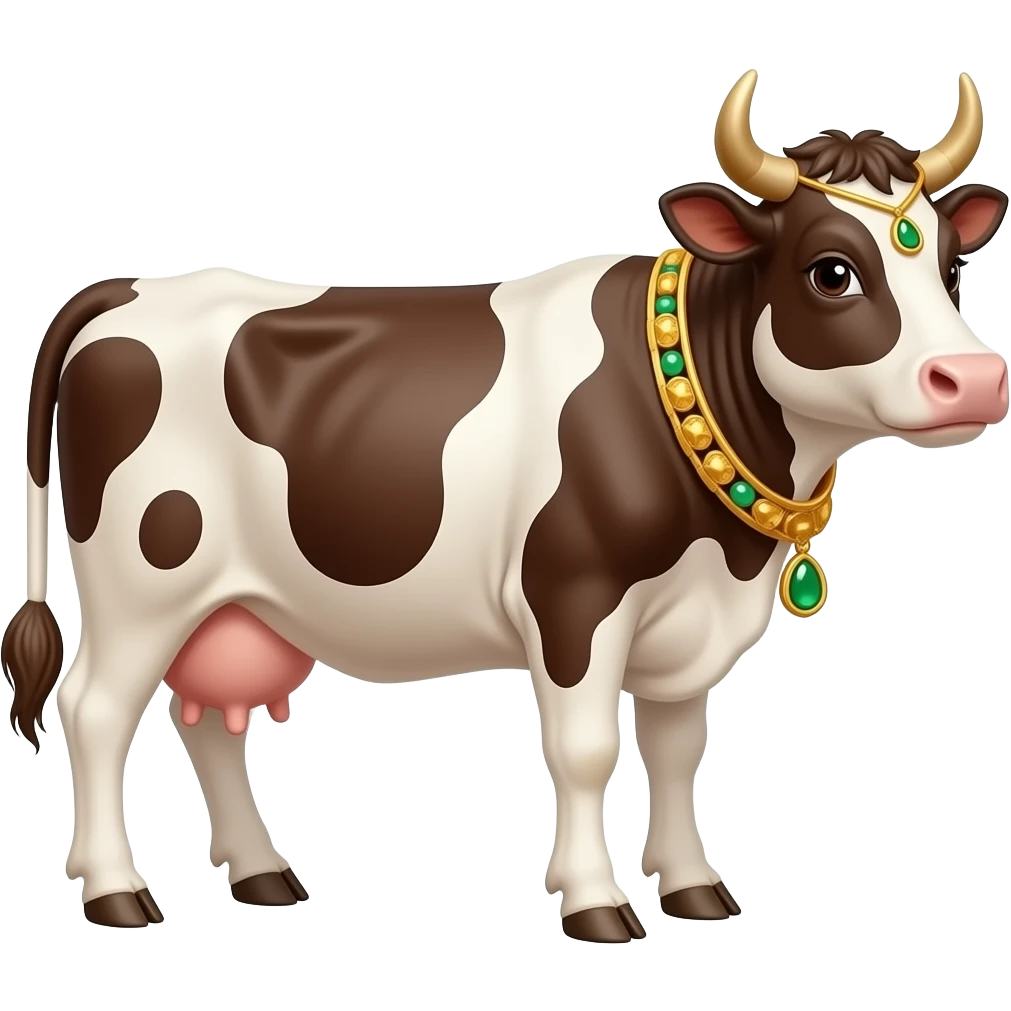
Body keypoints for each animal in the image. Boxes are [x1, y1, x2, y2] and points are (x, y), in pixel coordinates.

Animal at [3, 70, 1008, 941]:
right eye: (831, 270)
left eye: (952, 265)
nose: (973, 378)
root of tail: (131, 289)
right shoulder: (573, 596)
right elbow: (585, 748)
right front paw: (596, 902)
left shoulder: (688, 620)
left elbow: (677, 748)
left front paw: (692, 887)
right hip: (141, 581)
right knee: (96, 710)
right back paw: (116, 890)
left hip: (225, 598)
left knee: (205, 717)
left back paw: (261, 872)